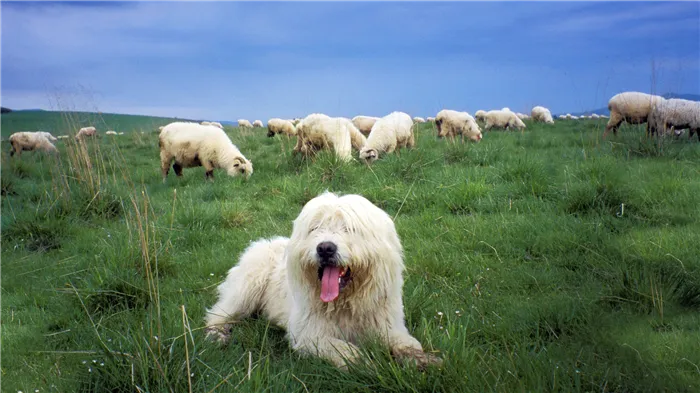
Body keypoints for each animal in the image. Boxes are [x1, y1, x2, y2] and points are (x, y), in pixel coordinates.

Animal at [204, 191, 442, 370]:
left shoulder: (389, 326)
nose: (325, 248)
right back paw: (217, 334)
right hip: (248, 286)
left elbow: (407, 343)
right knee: (218, 313)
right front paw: (367, 364)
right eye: (315, 228)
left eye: (349, 228)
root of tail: (262, 243)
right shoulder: (309, 334)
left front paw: (423, 360)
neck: (345, 304)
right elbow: (344, 350)